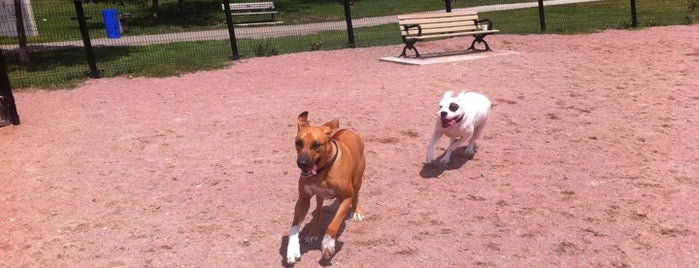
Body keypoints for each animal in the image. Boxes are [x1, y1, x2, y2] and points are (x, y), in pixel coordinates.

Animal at [288, 111, 370, 264]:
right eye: (298, 143)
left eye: (316, 145)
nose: (302, 163)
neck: (322, 171)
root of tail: (348, 130)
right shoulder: (303, 200)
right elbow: (294, 226)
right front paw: (292, 250)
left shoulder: (346, 198)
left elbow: (333, 225)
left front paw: (327, 244)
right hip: (320, 196)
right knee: (319, 211)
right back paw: (313, 233)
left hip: (358, 179)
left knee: (356, 195)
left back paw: (357, 211)